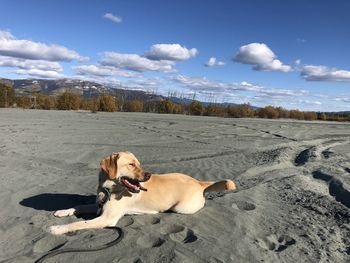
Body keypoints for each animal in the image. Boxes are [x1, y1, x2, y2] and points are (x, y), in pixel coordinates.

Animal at [48, 152, 235, 236]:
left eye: (139, 163)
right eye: (131, 164)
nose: (148, 175)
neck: (109, 189)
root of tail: (198, 182)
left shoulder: (107, 219)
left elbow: (79, 223)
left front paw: (58, 228)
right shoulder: (98, 205)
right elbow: (79, 206)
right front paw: (63, 211)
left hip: (181, 208)